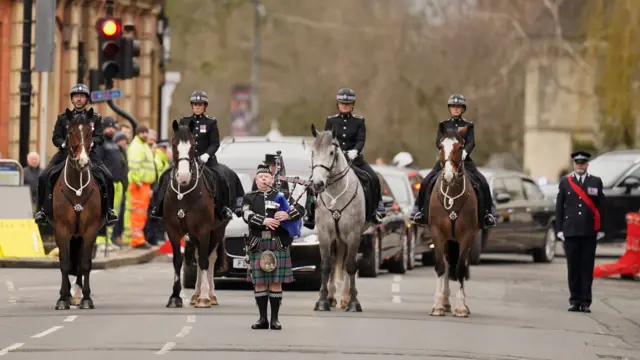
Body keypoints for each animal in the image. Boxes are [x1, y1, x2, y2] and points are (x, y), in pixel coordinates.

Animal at [52, 107, 103, 310]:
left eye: (90, 132)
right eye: (71, 131)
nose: (83, 162)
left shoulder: (90, 229)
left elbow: (85, 263)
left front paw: (86, 298)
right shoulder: (62, 228)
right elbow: (65, 262)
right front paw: (62, 298)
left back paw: (78, 293)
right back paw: (67, 294)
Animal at [164, 119, 229, 310]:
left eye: (193, 145)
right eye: (173, 144)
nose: (184, 177)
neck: (184, 194)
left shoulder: (204, 230)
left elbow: (205, 261)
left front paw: (205, 298)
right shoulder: (173, 230)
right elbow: (178, 261)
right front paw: (175, 297)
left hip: (218, 230)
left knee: (209, 258)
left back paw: (210, 294)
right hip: (193, 235)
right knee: (199, 256)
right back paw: (195, 294)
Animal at [308, 124, 364, 312]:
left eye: (332, 152)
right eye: (313, 152)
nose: (318, 184)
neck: (335, 194)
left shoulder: (353, 234)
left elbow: (351, 265)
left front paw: (354, 302)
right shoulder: (325, 234)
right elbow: (326, 266)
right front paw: (322, 300)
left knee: (347, 264)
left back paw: (346, 297)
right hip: (336, 238)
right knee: (334, 263)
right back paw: (332, 296)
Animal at [428, 125, 478, 316]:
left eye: (460, 147)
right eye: (441, 146)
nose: (449, 176)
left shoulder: (467, 235)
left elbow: (461, 268)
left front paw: (461, 307)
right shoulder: (437, 233)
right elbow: (440, 267)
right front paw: (437, 305)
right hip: (448, 240)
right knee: (448, 265)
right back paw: (444, 301)